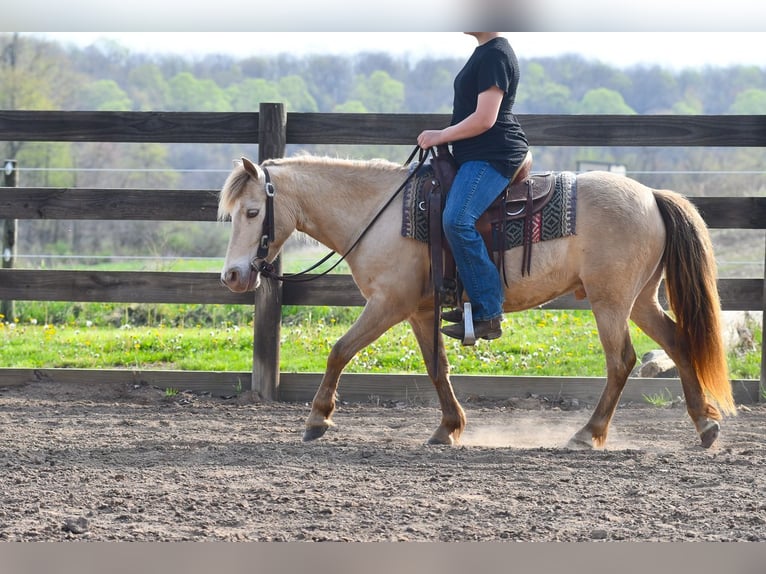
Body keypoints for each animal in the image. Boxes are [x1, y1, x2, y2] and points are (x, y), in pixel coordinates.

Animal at [218, 153, 736, 449]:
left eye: (253, 211)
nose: (233, 275)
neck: (378, 214)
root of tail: (651, 195)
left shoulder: (388, 304)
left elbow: (339, 350)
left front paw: (317, 419)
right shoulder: (420, 311)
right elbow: (436, 368)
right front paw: (449, 427)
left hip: (611, 302)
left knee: (621, 361)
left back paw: (588, 434)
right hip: (642, 300)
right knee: (678, 343)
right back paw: (704, 426)